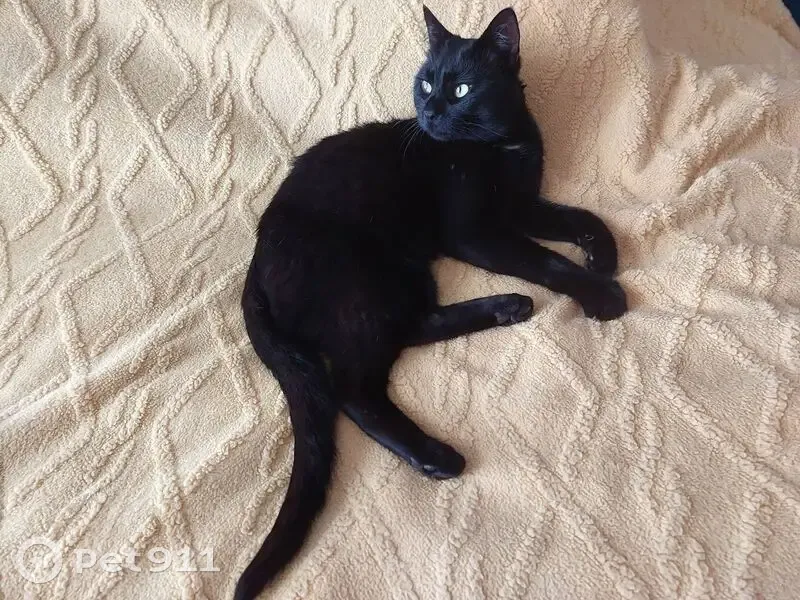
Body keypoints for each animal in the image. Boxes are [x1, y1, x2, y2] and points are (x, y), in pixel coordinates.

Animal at [235, 6, 626, 599]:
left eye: (461, 87)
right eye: (425, 82)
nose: (430, 110)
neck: (499, 145)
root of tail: (254, 267)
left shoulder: (522, 206)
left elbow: (581, 217)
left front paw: (603, 255)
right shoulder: (476, 233)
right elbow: (547, 262)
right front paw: (603, 293)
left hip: (403, 277)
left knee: (412, 328)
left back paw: (508, 307)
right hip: (368, 284)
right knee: (354, 388)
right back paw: (436, 456)